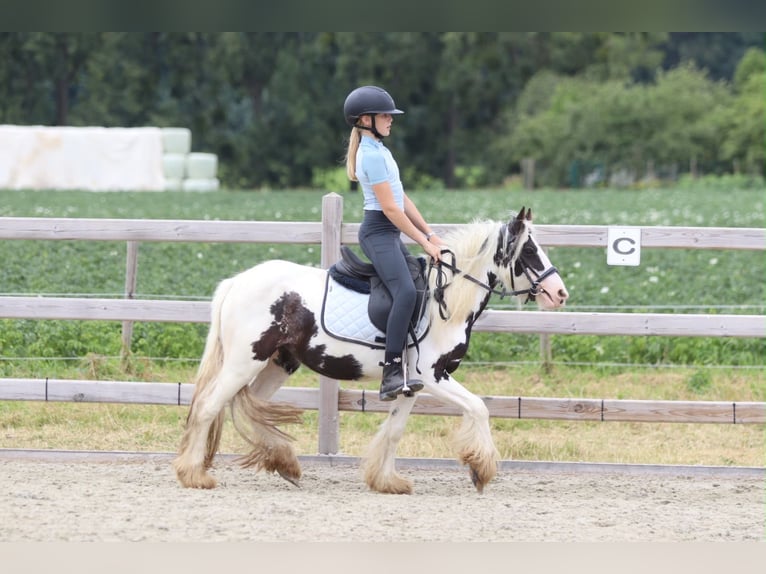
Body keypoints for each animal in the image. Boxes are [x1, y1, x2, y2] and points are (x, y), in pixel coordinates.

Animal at [173, 206, 569, 494]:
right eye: (529, 250)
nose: (560, 293)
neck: (445, 301)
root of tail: (236, 281)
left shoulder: (411, 385)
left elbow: (394, 431)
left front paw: (387, 481)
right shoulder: (434, 377)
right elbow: (479, 408)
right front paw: (480, 469)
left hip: (278, 364)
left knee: (247, 406)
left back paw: (284, 463)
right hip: (245, 361)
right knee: (209, 407)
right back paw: (195, 475)